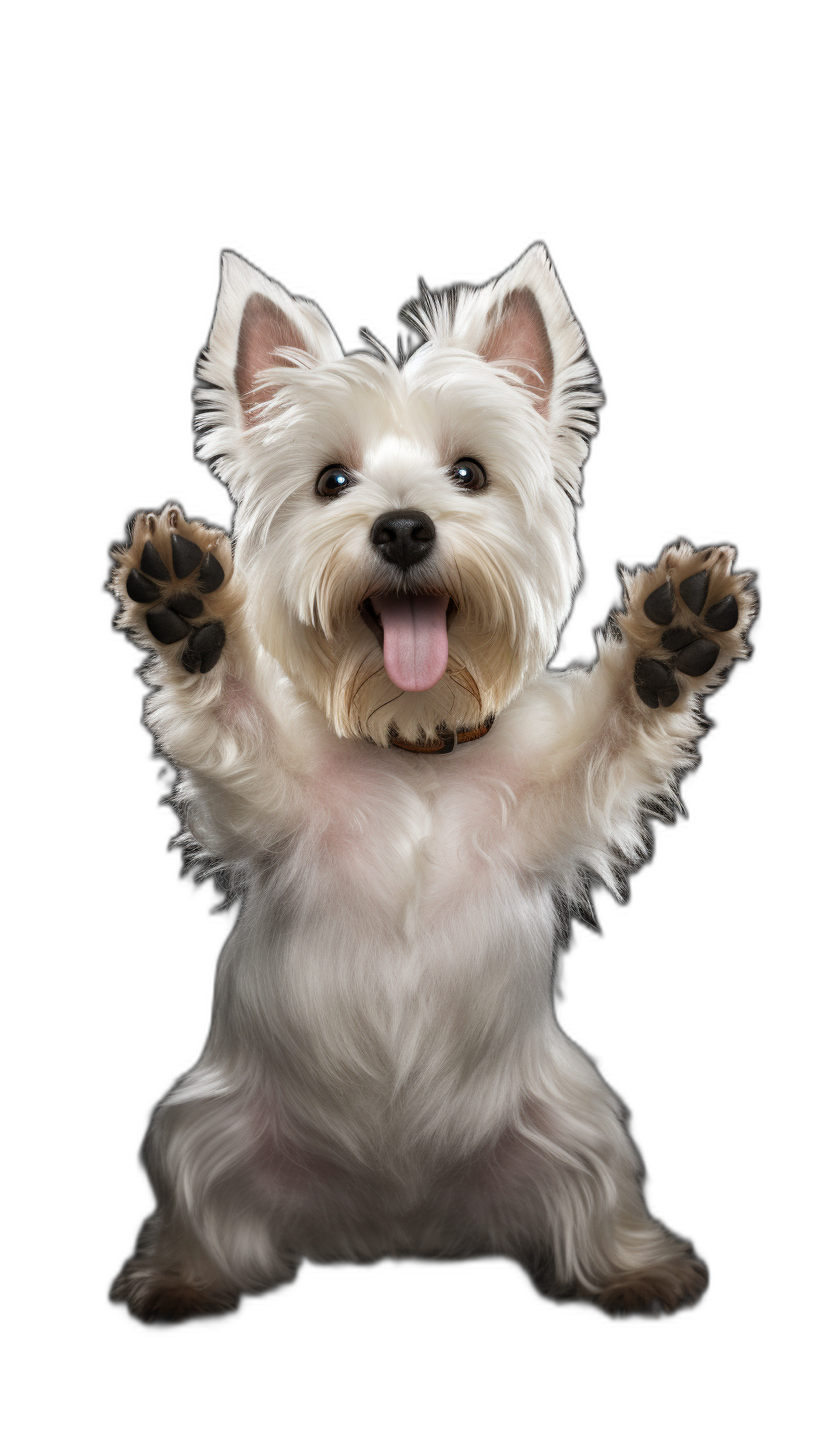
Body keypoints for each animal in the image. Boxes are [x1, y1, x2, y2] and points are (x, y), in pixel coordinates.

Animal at [111, 247, 757, 1322]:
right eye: (332, 480)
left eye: (470, 474)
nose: (405, 529)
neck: (414, 749)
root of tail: (397, 1221)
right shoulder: (265, 803)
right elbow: (235, 717)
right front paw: (190, 609)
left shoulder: (549, 807)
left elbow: (610, 733)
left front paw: (671, 643)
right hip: (198, 1131)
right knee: (209, 1219)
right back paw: (181, 1280)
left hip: (579, 1123)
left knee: (591, 1209)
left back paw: (635, 1271)